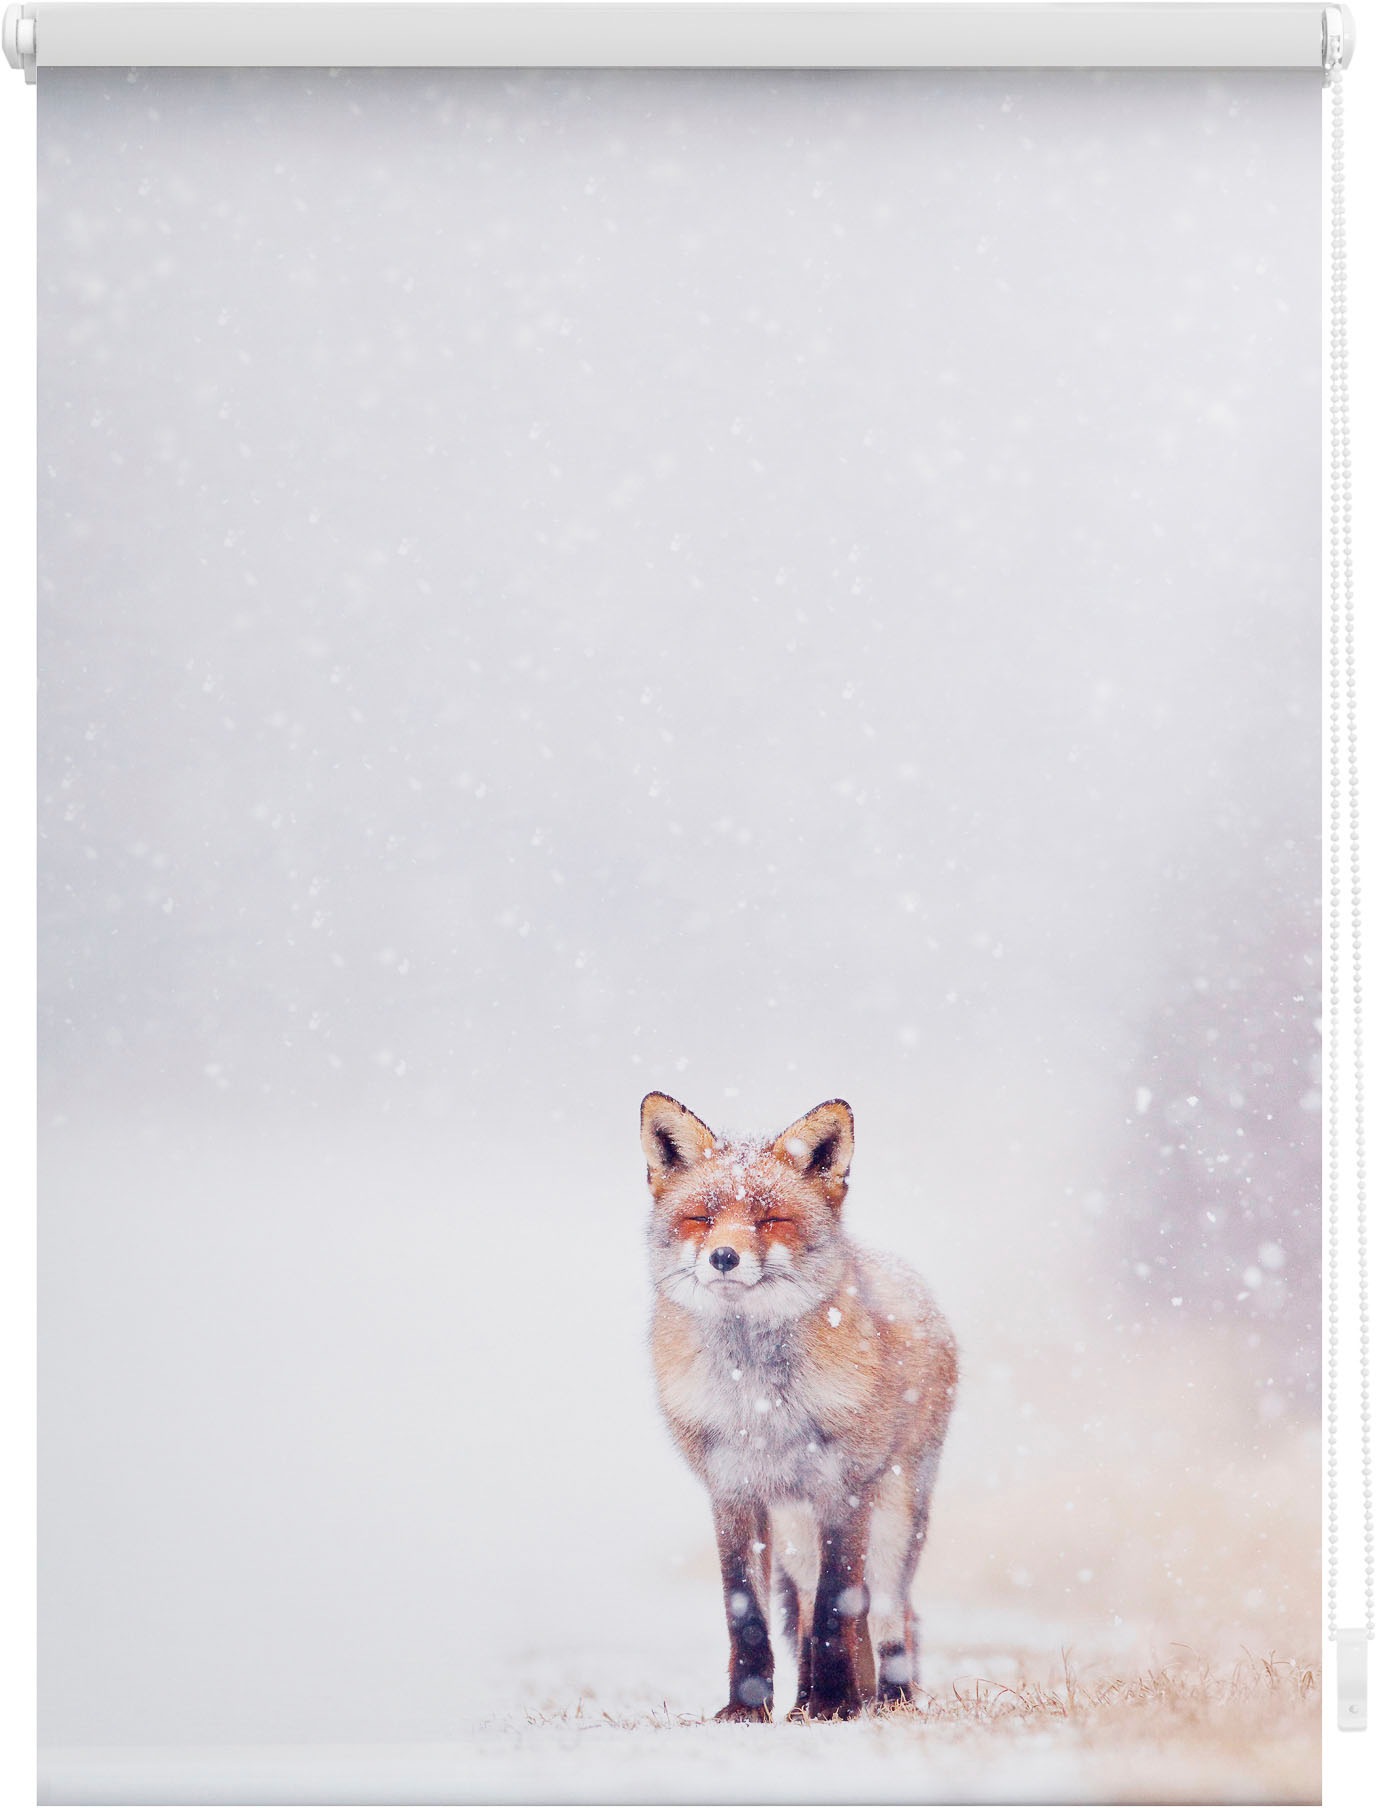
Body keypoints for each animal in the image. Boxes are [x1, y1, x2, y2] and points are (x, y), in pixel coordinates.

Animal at [641, 1091, 958, 1723]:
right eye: (702, 1219)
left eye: (771, 1221)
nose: (723, 1256)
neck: (758, 1401)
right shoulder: (732, 1491)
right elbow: (749, 1613)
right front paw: (747, 1709)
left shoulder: (843, 1488)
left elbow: (841, 1607)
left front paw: (838, 1705)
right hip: (793, 1528)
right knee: (809, 1607)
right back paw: (804, 1701)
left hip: (894, 1515)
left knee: (890, 1614)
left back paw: (885, 1700)